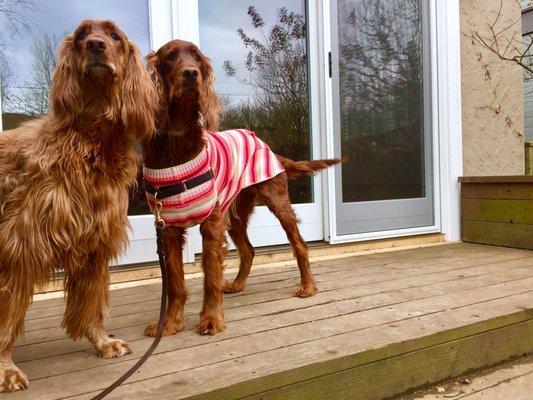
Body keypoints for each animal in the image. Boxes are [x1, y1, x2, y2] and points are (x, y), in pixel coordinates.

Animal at [0, 20, 157, 392]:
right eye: (83, 34)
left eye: (114, 36)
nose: (95, 45)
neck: (90, 143)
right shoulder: (19, 247)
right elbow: (7, 315)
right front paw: (5, 368)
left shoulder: (95, 242)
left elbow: (93, 305)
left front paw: (102, 342)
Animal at [142, 39, 340, 338]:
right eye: (170, 57)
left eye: (197, 58)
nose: (191, 74)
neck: (177, 141)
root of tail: (266, 145)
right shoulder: (168, 228)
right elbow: (175, 282)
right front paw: (172, 323)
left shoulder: (211, 224)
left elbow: (211, 276)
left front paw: (211, 320)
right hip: (234, 216)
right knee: (248, 250)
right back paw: (237, 284)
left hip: (277, 202)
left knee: (300, 244)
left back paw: (307, 286)